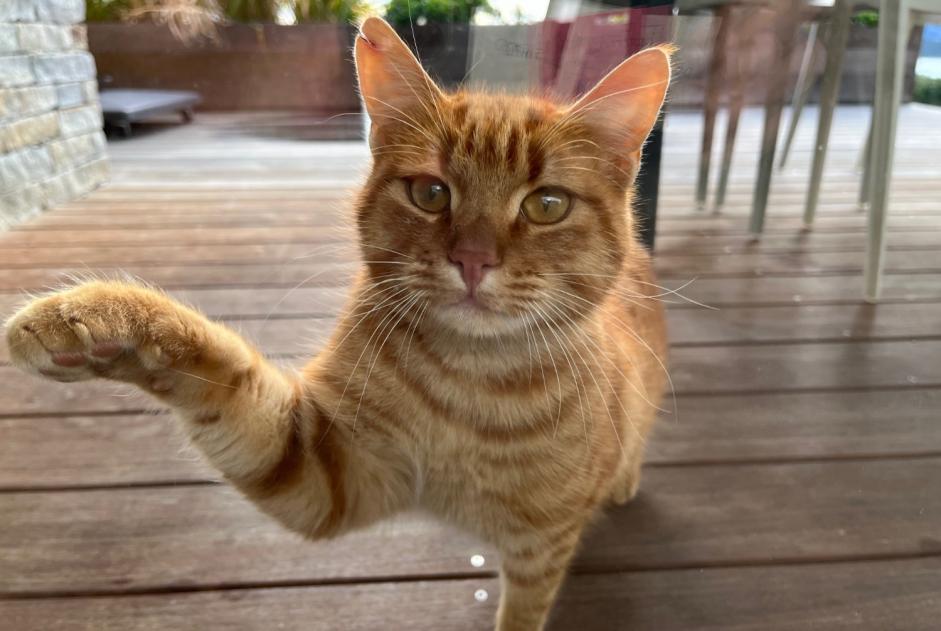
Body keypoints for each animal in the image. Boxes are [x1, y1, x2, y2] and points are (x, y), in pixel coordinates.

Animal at [5, 18, 668, 631]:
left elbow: (522, 614)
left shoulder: (541, 547)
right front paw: (94, 322)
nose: (474, 260)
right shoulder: (328, 472)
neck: (470, 387)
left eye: (546, 205)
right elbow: (217, 367)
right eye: (430, 193)